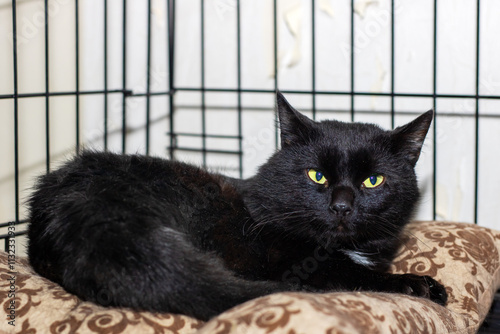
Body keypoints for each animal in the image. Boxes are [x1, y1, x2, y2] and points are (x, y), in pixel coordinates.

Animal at [29, 93, 448, 320]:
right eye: (317, 176)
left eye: (373, 181)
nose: (342, 206)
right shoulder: (295, 262)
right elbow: (352, 274)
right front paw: (417, 284)